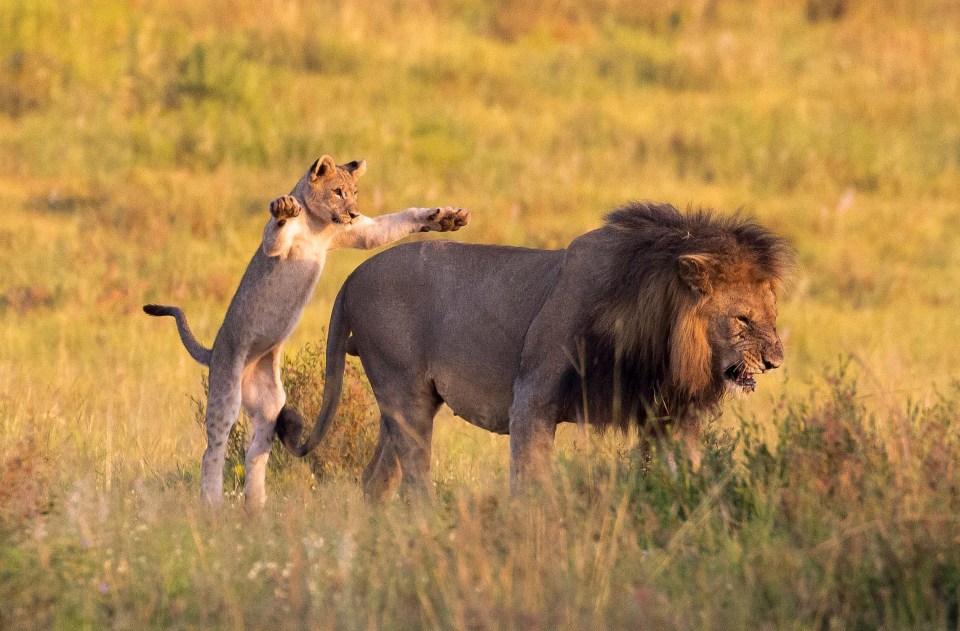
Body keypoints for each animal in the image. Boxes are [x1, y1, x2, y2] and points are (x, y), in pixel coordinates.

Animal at [142, 158, 468, 508]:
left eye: (355, 193)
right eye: (337, 192)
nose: (353, 213)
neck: (319, 223)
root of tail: (216, 351)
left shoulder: (358, 233)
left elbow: (396, 220)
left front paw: (446, 217)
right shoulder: (277, 246)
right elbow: (276, 233)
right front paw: (285, 208)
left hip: (269, 403)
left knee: (256, 451)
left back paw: (256, 505)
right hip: (226, 387)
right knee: (212, 450)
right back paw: (214, 504)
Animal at [276, 201, 788, 498]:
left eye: (772, 313)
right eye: (742, 319)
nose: (775, 361)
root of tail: (351, 278)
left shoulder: (667, 413)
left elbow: (686, 473)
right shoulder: (532, 398)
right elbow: (530, 485)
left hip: (401, 403)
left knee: (376, 479)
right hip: (406, 394)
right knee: (415, 481)